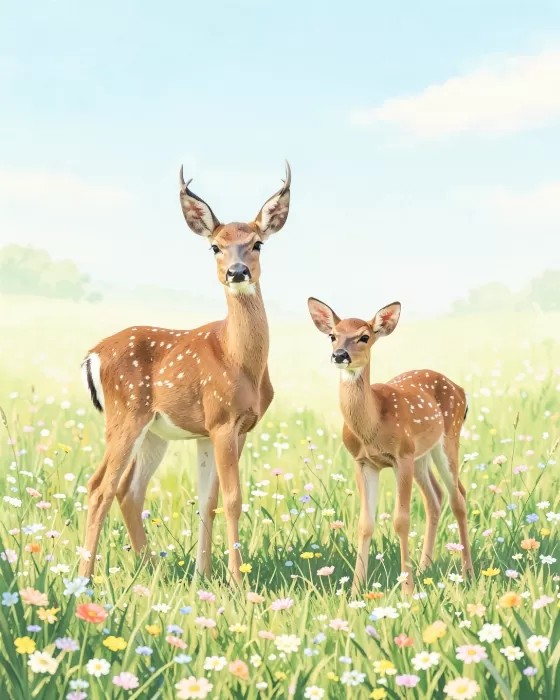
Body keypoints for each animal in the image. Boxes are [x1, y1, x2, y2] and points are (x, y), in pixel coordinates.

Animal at [79, 163, 291, 583]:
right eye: (215, 246)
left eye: (257, 243)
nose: (237, 272)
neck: (239, 360)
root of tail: (93, 355)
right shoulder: (222, 419)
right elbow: (232, 499)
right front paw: (238, 582)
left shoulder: (224, 428)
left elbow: (207, 500)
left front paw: (203, 576)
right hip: (125, 415)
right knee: (99, 487)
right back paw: (85, 578)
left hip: (153, 432)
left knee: (129, 491)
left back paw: (153, 571)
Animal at [307, 298, 474, 595]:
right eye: (332, 335)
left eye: (364, 336)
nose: (339, 355)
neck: (373, 425)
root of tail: (461, 390)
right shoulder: (364, 462)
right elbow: (365, 524)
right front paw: (355, 590)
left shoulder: (401, 457)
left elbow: (401, 521)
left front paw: (407, 589)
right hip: (422, 455)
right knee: (436, 496)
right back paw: (425, 567)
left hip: (447, 440)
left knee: (458, 498)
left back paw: (468, 573)